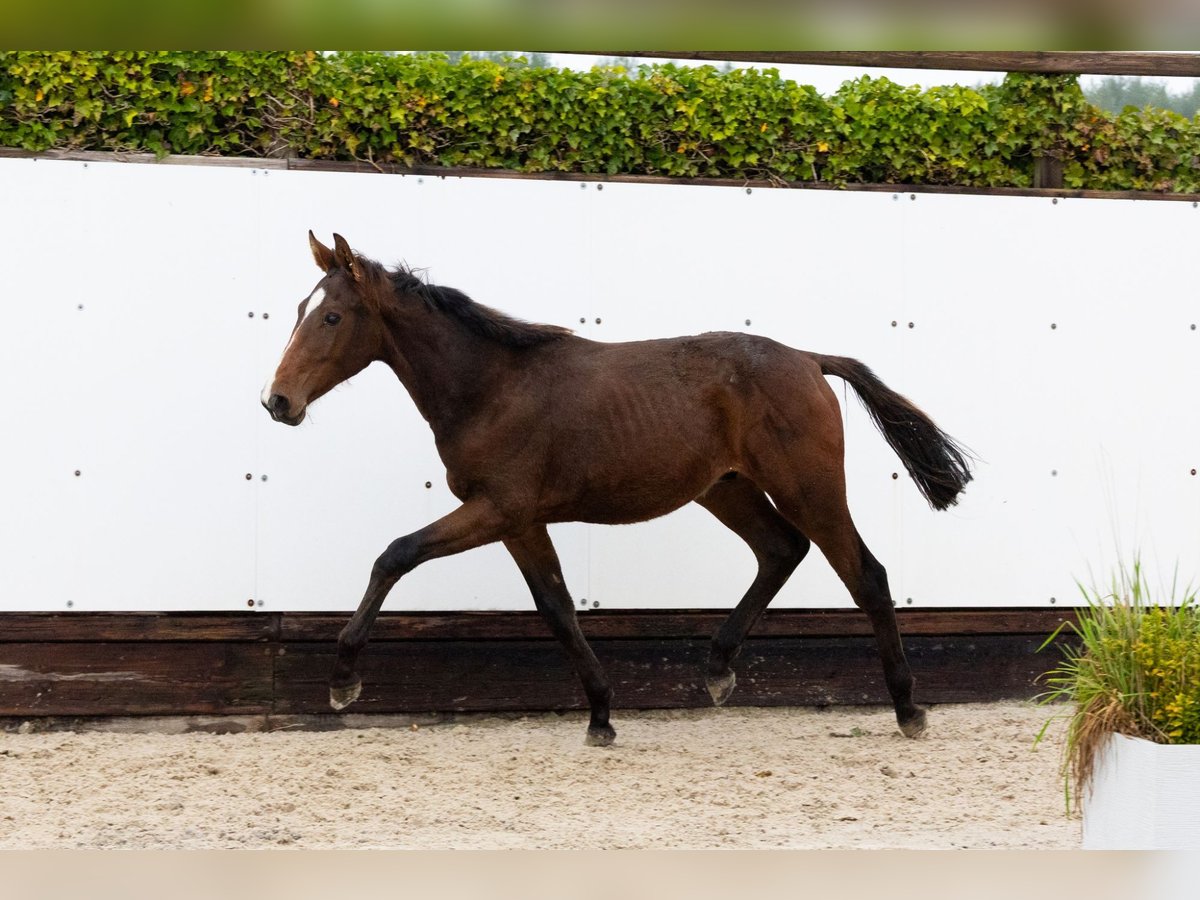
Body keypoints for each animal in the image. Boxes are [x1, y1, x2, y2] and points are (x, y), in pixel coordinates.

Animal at [262, 232, 973, 746]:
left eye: (331, 316)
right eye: (296, 311)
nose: (277, 401)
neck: (489, 386)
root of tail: (808, 359)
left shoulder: (498, 508)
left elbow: (396, 554)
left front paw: (342, 683)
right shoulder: (520, 521)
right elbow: (557, 607)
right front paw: (601, 715)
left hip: (809, 487)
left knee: (865, 574)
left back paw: (909, 709)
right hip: (726, 489)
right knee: (781, 550)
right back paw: (718, 672)